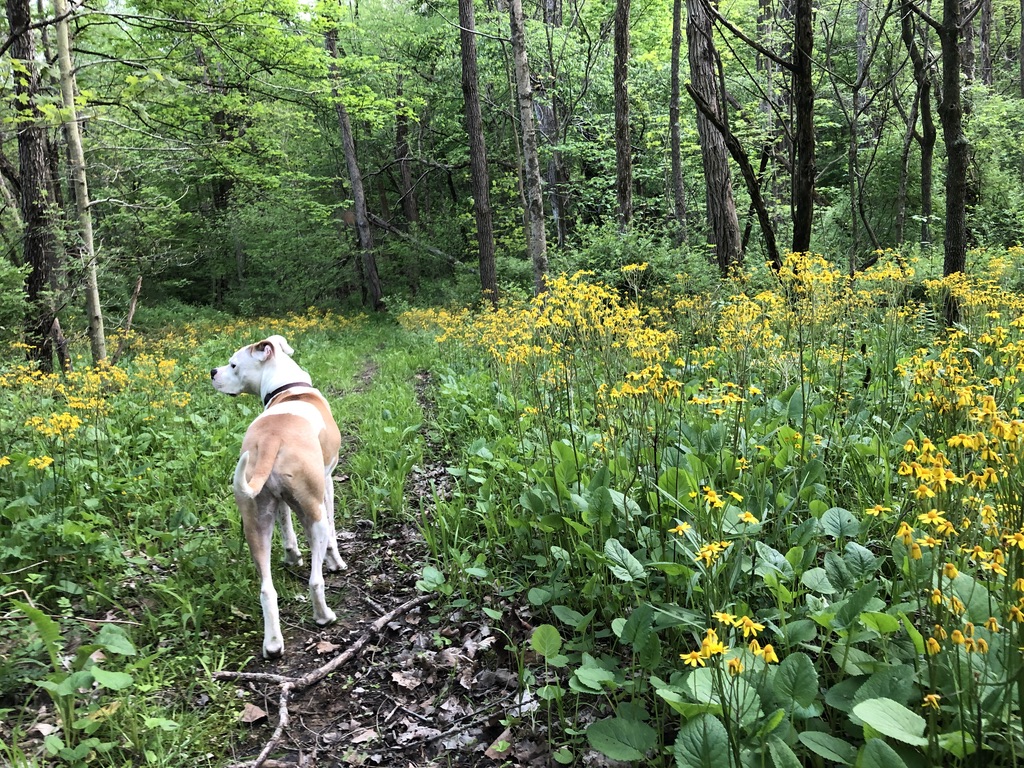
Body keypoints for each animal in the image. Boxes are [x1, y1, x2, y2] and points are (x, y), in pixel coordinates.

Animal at [210, 335, 345, 658]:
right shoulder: (328, 481)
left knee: (266, 589)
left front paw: (292, 555)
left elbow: (287, 529)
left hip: (255, 522)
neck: (288, 389)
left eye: (233, 365)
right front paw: (337, 561)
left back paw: (272, 643)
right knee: (316, 579)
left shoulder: (279, 502)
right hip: (314, 515)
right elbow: (334, 534)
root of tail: (272, 439)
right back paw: (324, 616)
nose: (212, 372)